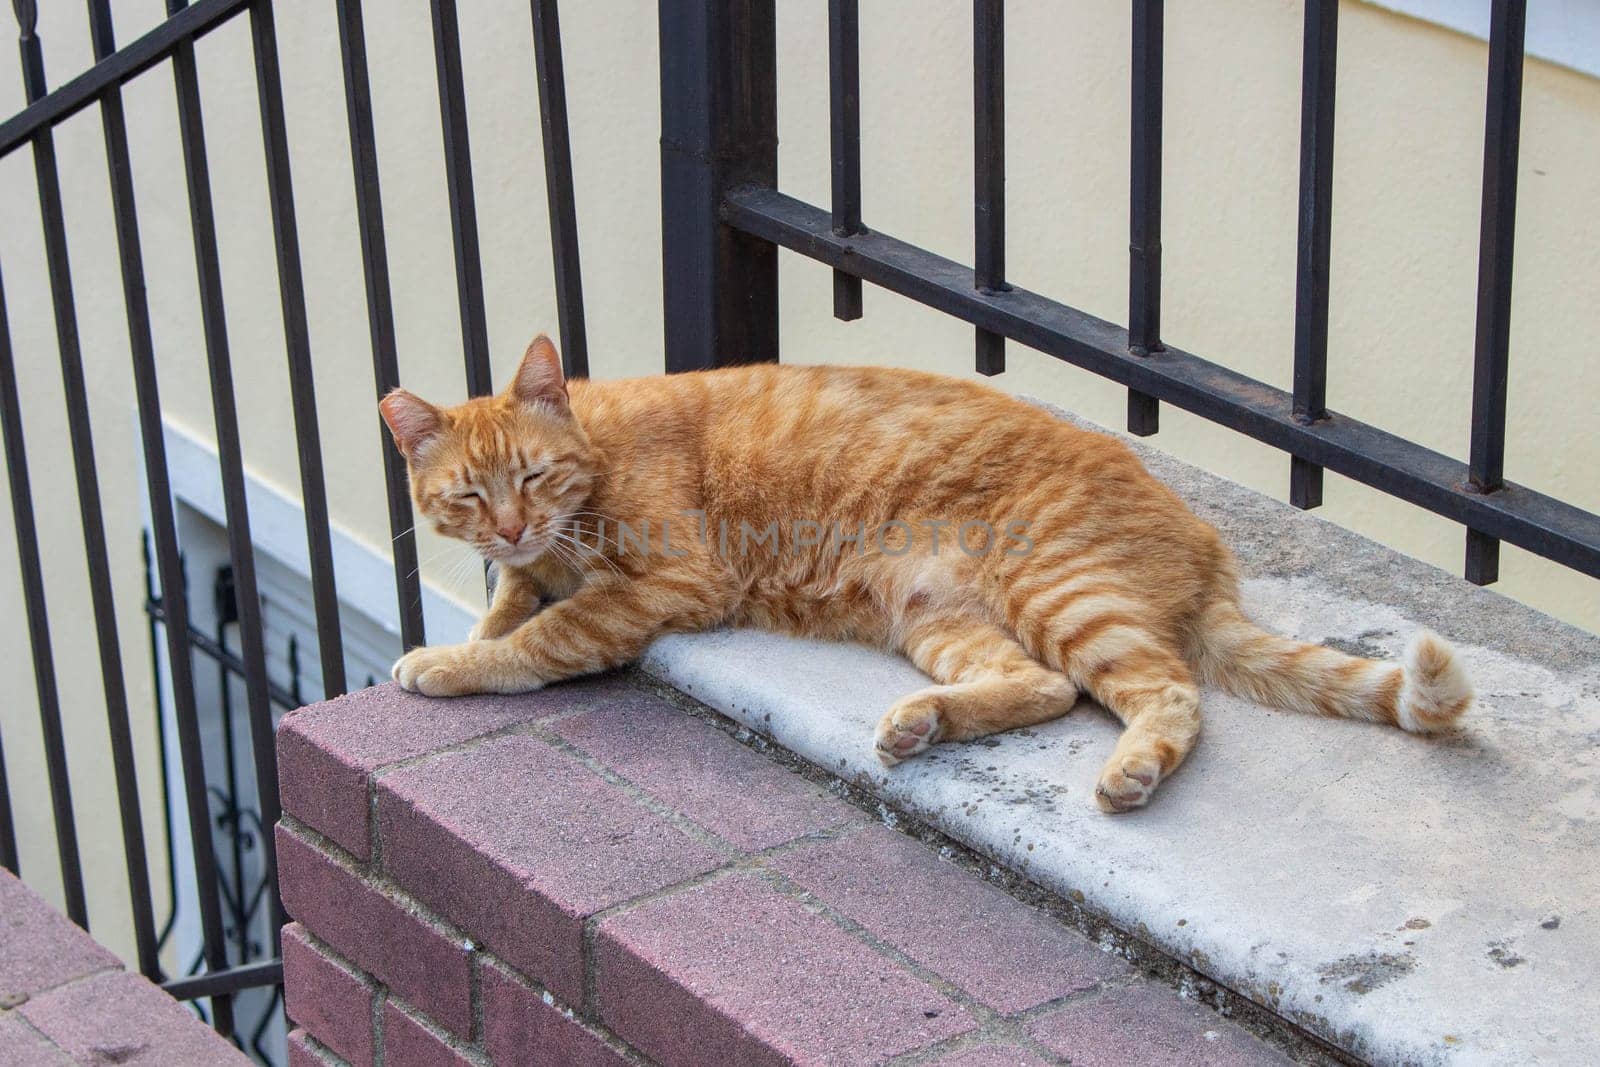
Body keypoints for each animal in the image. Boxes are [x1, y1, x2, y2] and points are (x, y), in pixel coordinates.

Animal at [377, 337, 1472, 812]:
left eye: (532, 475)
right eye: (467, 495)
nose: (513, 523)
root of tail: (1209, 545)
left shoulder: (668, 583)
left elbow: (535, 638)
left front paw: (445, 664)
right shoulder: (535, 569)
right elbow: (511, 605)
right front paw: (477, 619)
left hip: (1061, 589)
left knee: (1163, 693)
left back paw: (1131, 770)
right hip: (935, 617)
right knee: (1044, 684)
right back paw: (923, 722)